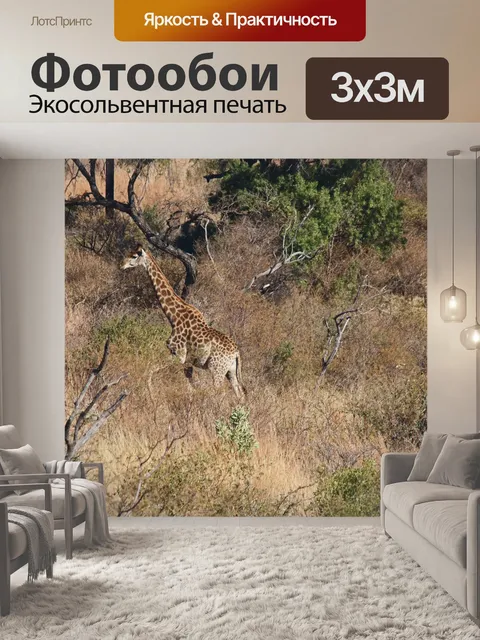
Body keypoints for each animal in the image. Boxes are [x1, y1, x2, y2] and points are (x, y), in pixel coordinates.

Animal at [121, 245, 246, 398]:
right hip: (230, 371)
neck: (174, 317)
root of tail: (236, 352)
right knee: (239, 394)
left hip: (217, 368)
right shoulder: (186, 360)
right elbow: (190, 385)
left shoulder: (179, 355)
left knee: (220, 392)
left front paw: (151, 398)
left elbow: (150, 370)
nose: (122, 265)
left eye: (134, 256)